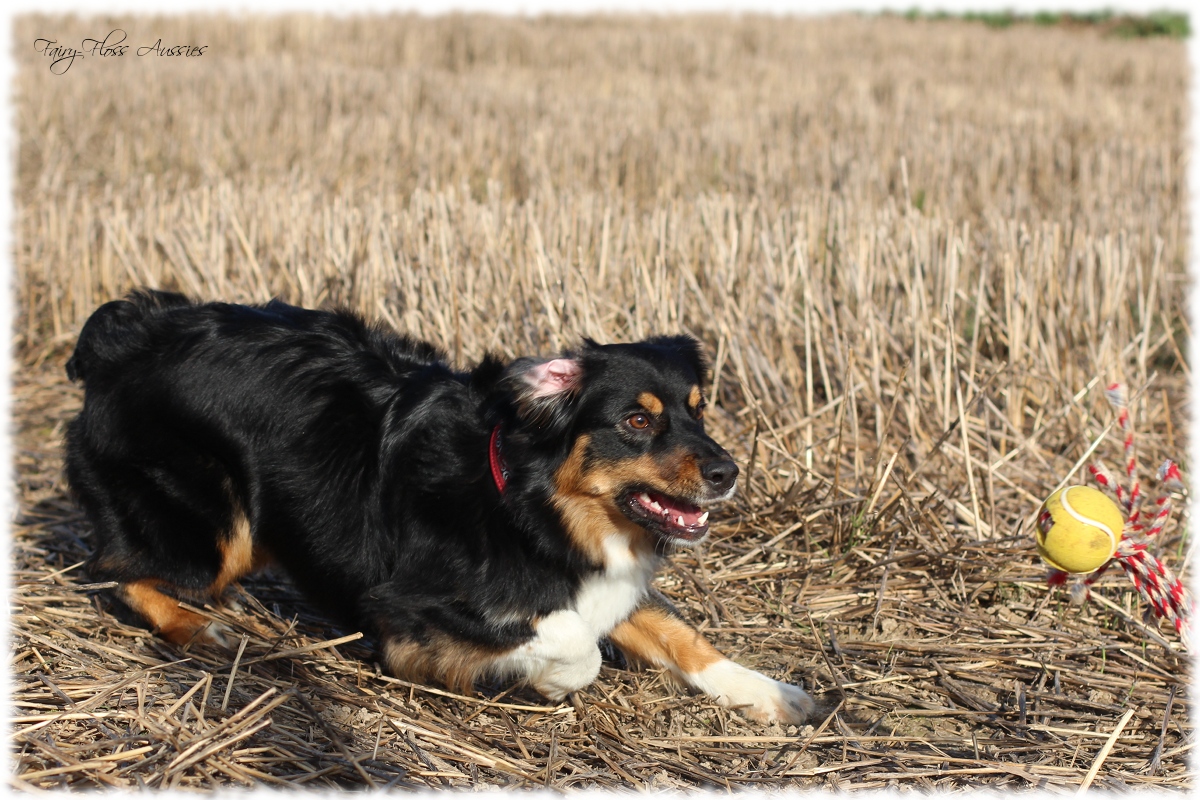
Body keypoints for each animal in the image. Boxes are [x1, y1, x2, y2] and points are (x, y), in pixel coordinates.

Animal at [65, 291, 816, 724]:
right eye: (636, 421)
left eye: (698, 411)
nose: (728, 472)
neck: (528, 502)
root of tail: (125, 332)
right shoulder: (403, 608)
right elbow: (570, 640)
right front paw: (543, 682)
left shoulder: (609, 579)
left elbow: (682, 636)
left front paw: (773, 693)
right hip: (218, 525)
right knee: (112, 573)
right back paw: (202, 628)